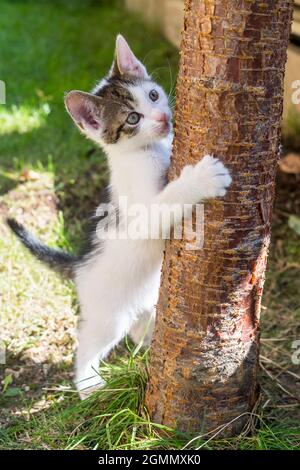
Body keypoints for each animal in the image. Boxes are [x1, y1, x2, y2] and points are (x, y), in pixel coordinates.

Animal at [7, 35, 232, 398]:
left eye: (153, 95)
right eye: (132, 119)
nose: (161, 118)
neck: (148, 151)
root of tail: (78, 265)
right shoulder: (140, 217)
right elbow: (166, 202)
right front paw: (202, 179)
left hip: (143, 300)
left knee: (138, 327)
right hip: (106, 313)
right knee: (87, 344)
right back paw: (88, 385)